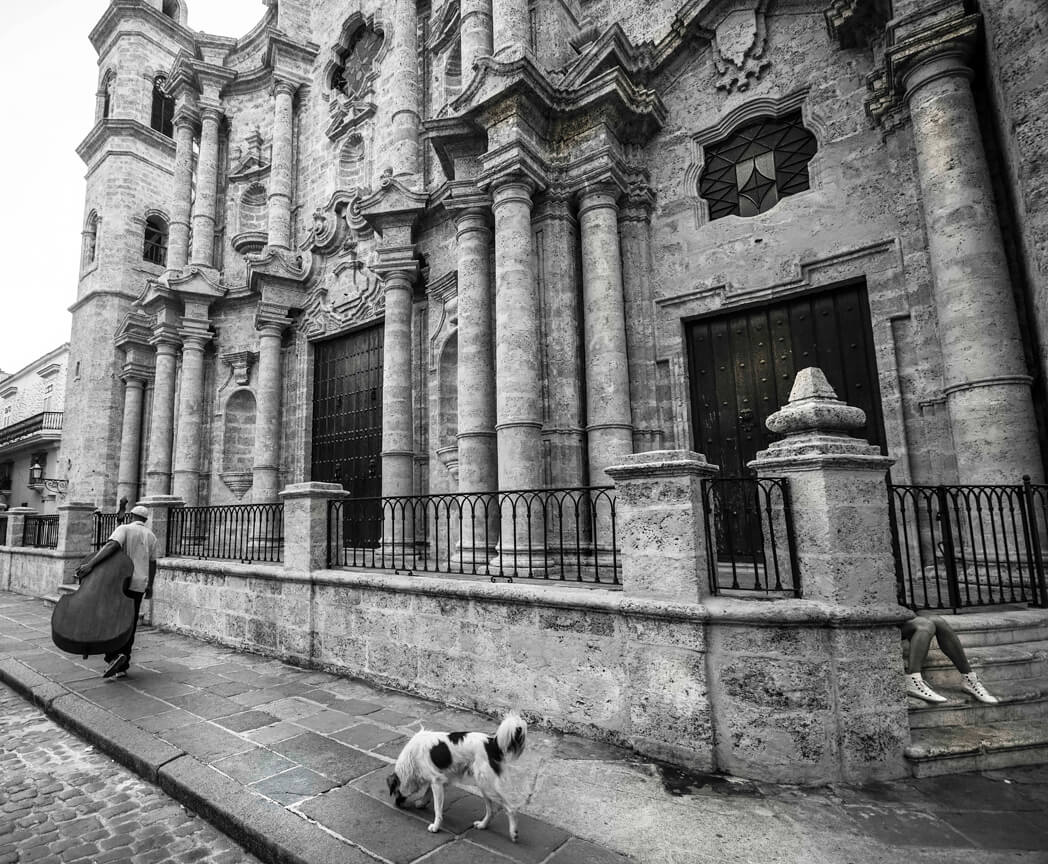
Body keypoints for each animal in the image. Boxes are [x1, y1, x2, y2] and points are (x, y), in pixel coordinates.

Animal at [387, 713, 528, 838]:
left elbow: (437, 808)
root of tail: (492, 743)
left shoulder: (437, 781)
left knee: (511, 808)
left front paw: (436, 826)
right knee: (491, 810)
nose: (396, 805)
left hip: (487, 785)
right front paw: (422, 803)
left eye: (395, 791)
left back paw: (513, 833)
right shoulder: (441, 780)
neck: (411, 759)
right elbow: (428, 792)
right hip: (483, 785)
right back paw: (482, 825)